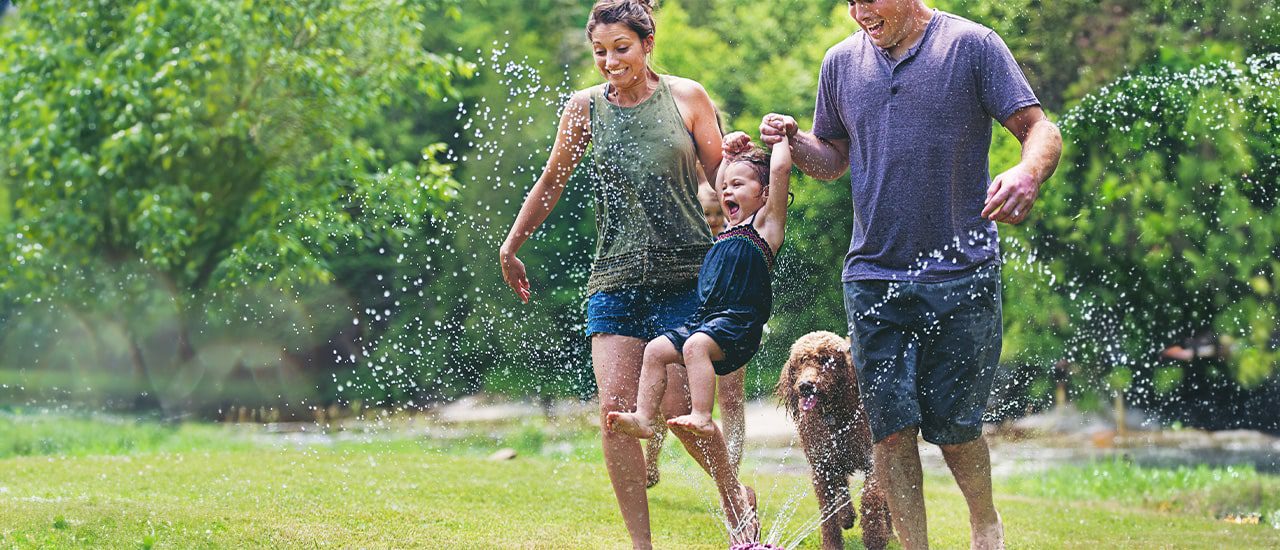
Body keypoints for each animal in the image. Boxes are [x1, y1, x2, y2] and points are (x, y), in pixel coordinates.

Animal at [773, 330, 896, 550]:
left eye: (825, 360)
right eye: (801, 361)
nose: (805, 386)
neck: (835, 415)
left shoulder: (872, 459)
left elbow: (871, 496)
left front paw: (875, 536)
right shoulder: (822, 467)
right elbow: (828, 514)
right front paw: (833, 542)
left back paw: (889, 534)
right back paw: (847, 516)